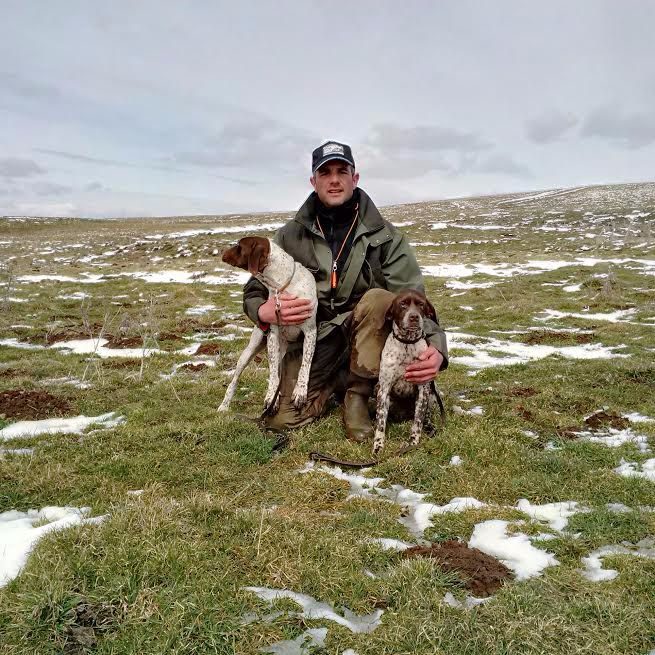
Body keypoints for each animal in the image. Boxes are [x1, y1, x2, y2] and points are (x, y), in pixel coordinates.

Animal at [218, 236, 318, 412]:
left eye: (239, 246)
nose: (222, 252)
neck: (282, 286)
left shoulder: (310, 331)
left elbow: (305, 365)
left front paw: (300, 392)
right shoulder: (273, 333)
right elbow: (272, 374)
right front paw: (271, 397)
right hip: (251, 349)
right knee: (235, 380)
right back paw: (224, 405)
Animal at [372, 292, 438, 456]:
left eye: (421, 304)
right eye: (402, 304)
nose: (414, 317)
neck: (407, 344)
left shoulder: (423, 390)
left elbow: (418, 421)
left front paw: (413, 442)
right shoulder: (383, 390)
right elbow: (381, 422)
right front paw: (378, 444)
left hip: (432, 395)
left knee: (425, 417)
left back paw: (430, 428)